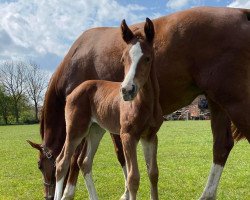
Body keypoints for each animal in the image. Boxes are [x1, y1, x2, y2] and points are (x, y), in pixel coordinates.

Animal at [27, 6, 250, 200]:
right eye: (122, 59)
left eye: (39, 165)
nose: (46, 196)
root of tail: (242, 13)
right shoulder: (110, 126)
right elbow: (109, 161)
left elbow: (100, 160)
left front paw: (69, 193)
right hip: (216, 101)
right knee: (221, 145)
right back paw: (207, 195)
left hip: (234, 100)